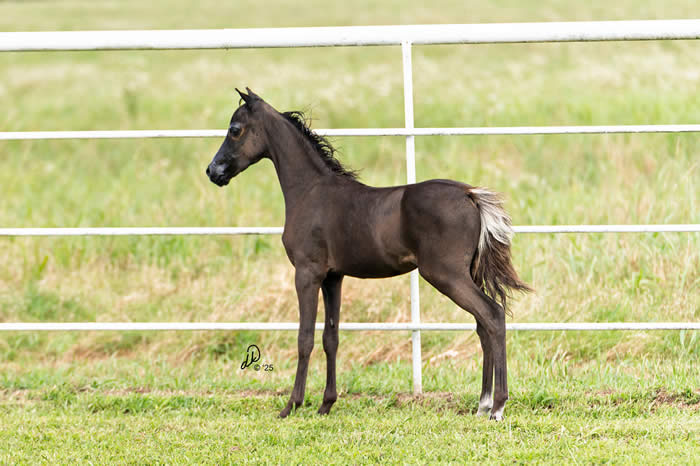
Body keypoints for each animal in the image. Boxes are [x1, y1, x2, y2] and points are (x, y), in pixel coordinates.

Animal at [206, 88, 532, 421]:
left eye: (235, 130)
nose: (213, 171)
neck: (311, 191)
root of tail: (470, 195)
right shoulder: (333, 277)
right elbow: (331, 338)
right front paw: (326, 404)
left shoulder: (307, 273)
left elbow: (304, 338)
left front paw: (291, 405)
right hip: (468, 275)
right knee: (482, 326)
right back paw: (483, 404)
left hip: (446, 276)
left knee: (493, 316)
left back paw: (498, 405)